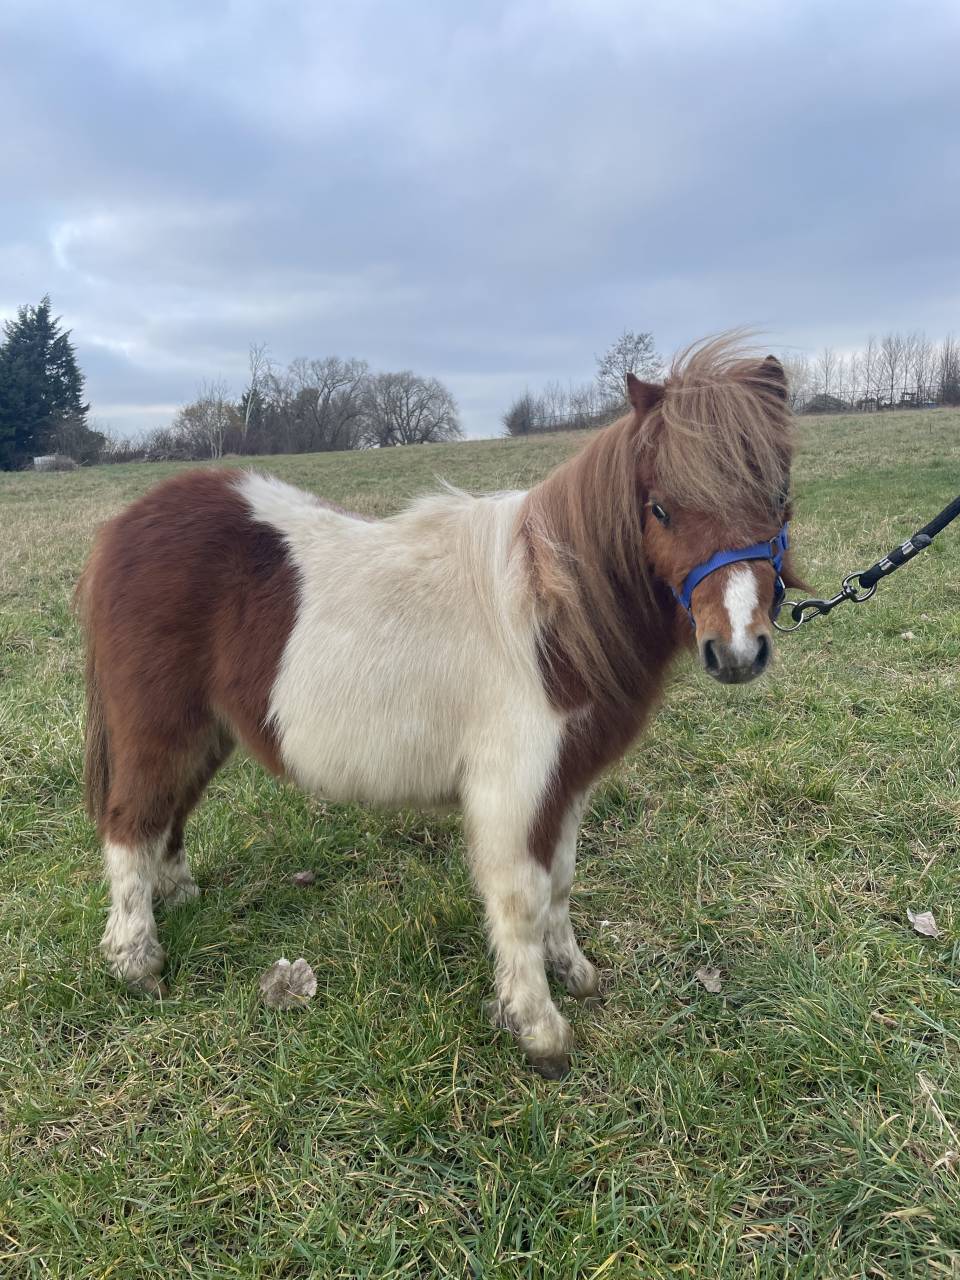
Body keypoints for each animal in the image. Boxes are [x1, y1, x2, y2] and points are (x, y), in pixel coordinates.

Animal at [77, 337, 800, 1078]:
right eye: (660, 509)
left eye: (780, 497)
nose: (737, 650)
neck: (550, 616)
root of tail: (125, 528)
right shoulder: (514, 789)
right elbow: (521, 898)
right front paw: (539, 1029)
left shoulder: (566, 783)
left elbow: (560, 883)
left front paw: (574, 972)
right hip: (157, 726)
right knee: (131, 822)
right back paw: (136, 961)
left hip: (207, 732)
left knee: (169, 814)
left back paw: (177, 897)